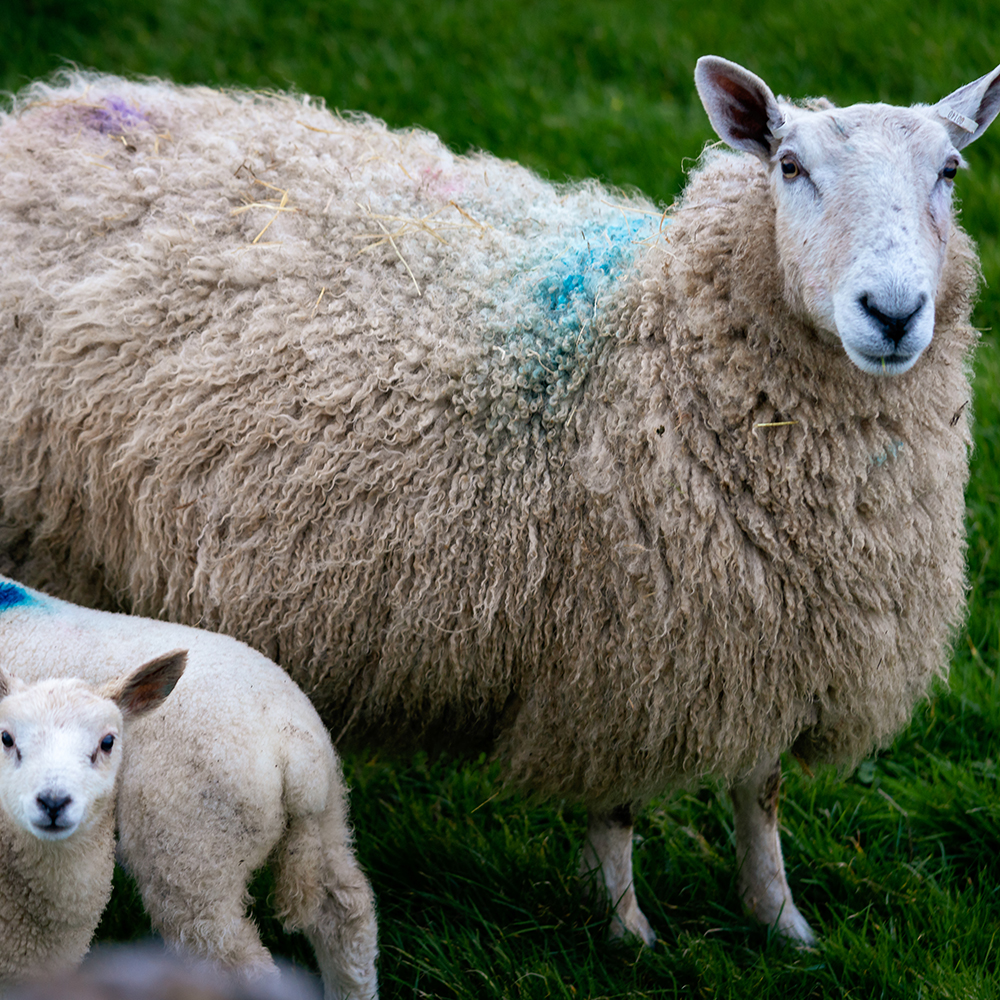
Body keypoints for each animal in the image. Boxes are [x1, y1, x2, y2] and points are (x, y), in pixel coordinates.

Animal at [0, 58, 996, 948]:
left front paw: (782, 923)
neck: (645, 343)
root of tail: (48, 111)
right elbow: (618, 809)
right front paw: (629, 933)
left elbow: (763, 791)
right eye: (790, 166)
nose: (894, 312)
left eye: (949, 172)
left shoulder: (767, 631)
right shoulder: (623, 654)